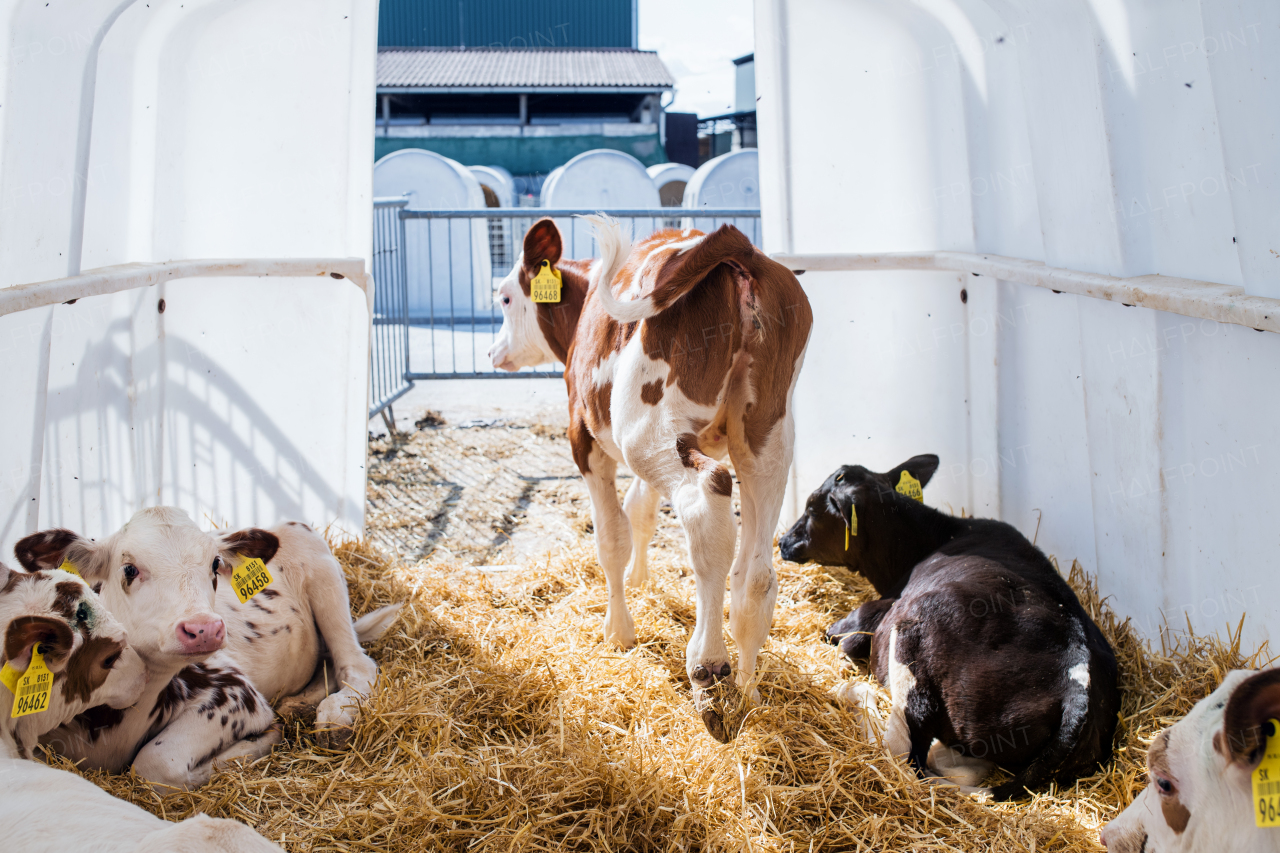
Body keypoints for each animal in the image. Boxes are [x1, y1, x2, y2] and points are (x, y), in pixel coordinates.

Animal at [16, 504, 399, 788]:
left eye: (215, 564)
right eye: (129, 569)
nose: (204, 628)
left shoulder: (235, 692)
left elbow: (155, 764)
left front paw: (261, 741)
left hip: (321, 568)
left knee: (357, 663)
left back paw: (334, 718)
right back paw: (299, 704)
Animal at [486, 213, 808, 737]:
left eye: (507, 298)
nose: (494, 352)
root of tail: (739, 248)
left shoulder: (584, 438)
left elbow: (611, 536)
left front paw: (618, 631)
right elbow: (640, 510)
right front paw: (640, 581)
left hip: (647, 430)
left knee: (706, 502)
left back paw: (708, 669)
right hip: (767, 435)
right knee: (756, 571)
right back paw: (749, 690)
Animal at [773, 450, 1116, 799]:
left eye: (812, 507)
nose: (783, 541)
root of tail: (1079, 686)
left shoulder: (877, 612)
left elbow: (845, 636)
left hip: (916, 637)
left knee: (905, 755)